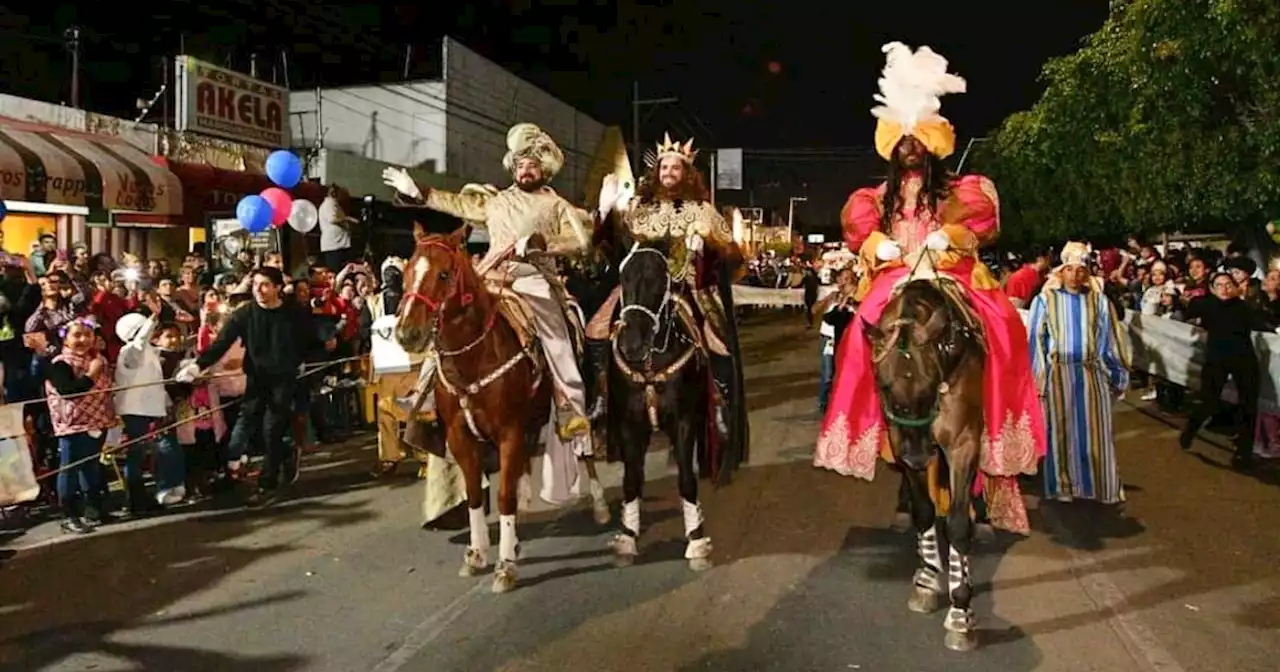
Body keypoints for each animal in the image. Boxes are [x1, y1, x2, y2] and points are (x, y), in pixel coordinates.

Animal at [865, 277, 983, 650]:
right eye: (884, 385)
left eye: (931, 383)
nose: (918, 456)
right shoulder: (899, 438)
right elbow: (924, 510)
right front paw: (929, 578)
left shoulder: (963, 443)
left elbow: (958, 525)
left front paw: (961, 610)